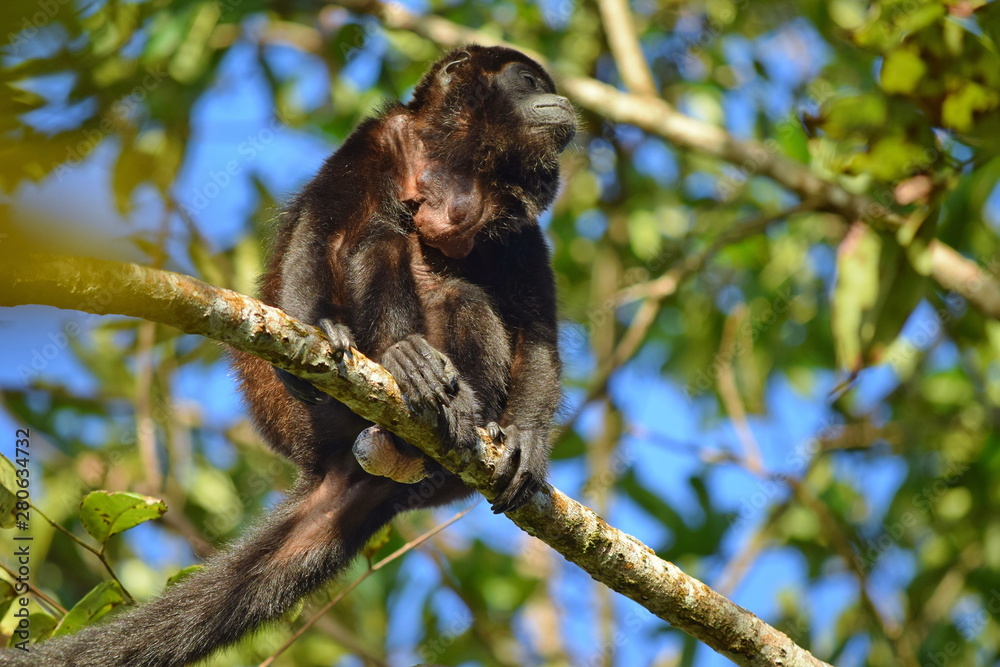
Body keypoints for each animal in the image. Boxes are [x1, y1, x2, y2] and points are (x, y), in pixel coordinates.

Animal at [2, 45, 575, 667]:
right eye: (527, 80)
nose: (564, 99)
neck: (459, 167)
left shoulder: (519, 218)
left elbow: (537, 330)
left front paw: (526, 439)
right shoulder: (378, 137)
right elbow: (322, 230)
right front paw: (324, 325)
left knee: (464, 295)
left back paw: (468, 416)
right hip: (314, 420)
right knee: (376, 236)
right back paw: (407, 362)